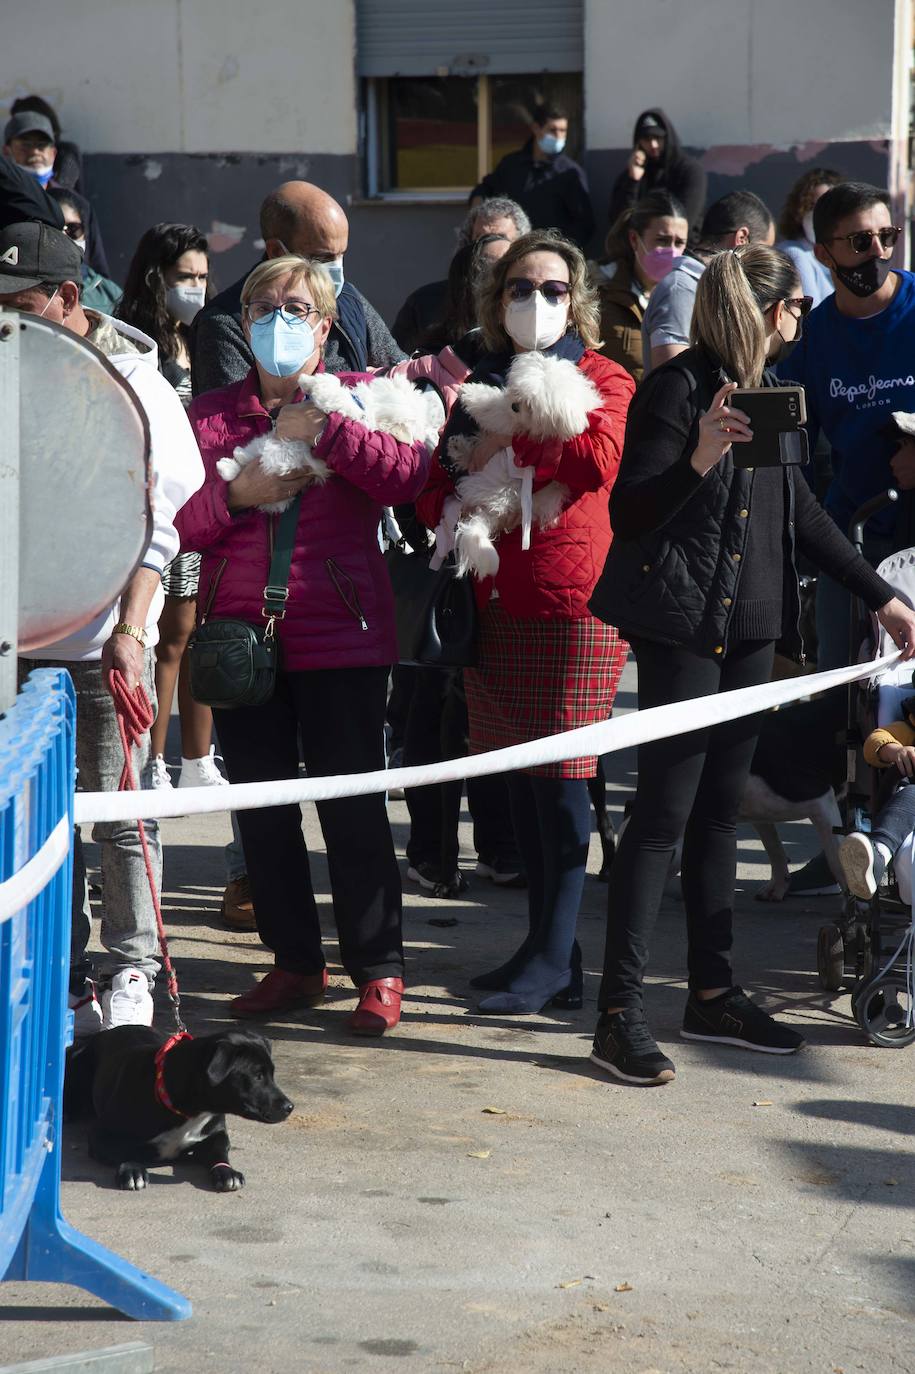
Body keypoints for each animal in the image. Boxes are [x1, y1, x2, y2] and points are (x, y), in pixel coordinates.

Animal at [64, 1022, 292, 1192]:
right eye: (257, 1075)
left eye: (272, 1074)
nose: (289, 1107)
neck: (190, 1111)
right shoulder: (101, 1134)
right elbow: (123, 1151)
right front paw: (133, 1170)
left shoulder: (216, 1134)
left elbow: (219, 1150)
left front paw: (226, 1172)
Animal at [214, 368, 442, 513]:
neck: (370, 407)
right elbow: (332, 383)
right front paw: (306, 380)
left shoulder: (349, 410)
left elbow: (336, 395)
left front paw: (310, 382)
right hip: (263, 443)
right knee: (246, 459)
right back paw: (231, 460)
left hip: (279, 473)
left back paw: (227, 466)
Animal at [439, 351, 599, 577]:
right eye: (520, 393)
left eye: (530, 407)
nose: (514, 406)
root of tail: (492, 511)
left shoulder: (518, 429)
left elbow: (494, 408)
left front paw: (470, 393)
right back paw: (457, 448)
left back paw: (458, 450)